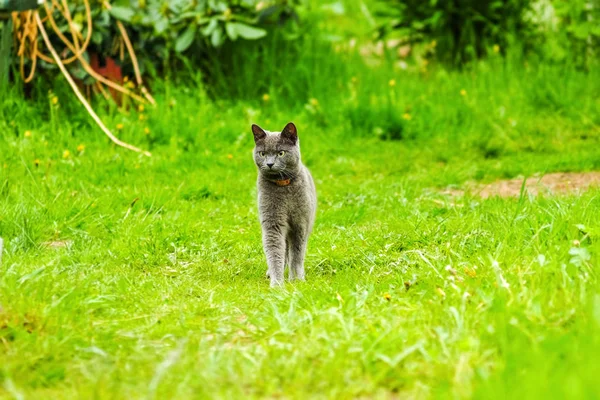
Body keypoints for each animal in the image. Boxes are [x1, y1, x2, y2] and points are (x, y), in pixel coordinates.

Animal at [252, 122, 318, 288]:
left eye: (281, 153)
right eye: (262, 153)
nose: (269, 164)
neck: (283, 186)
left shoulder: (300, 224)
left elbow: (297, 253)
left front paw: (296, 279)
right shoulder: (272, 221)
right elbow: (275, 250)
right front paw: (277, 283)